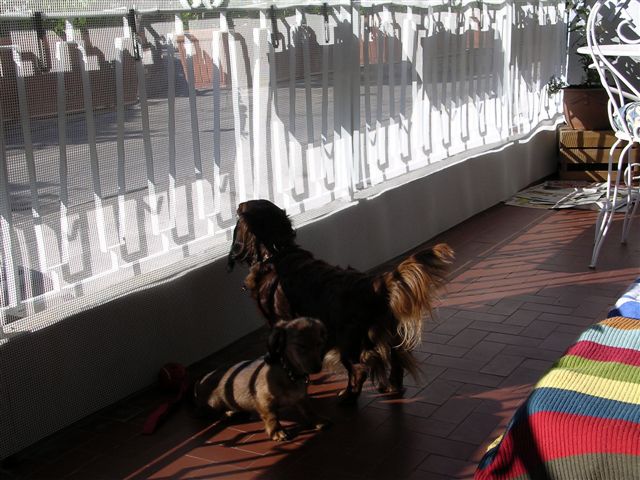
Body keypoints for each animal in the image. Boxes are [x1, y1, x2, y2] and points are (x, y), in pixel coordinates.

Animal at [193, 317, 330, 441]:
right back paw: (226, 413)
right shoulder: (264, 399)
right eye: (301, 345)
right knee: (203, 412)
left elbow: (309, 410)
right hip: (213, 403)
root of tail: (199, 382)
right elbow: (271, 416)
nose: (318, 368)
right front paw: (277, 431)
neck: (288, 372)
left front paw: (318, 420)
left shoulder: (301, 397)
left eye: (319, 344)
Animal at [227, 199, 454, 402]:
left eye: (238, 211)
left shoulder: (277, 321)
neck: (277, 250)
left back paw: (348, 396)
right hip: (387, 334)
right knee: (396, 361)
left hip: (346, 340)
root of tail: (375, 284)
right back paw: (391, 386)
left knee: (359, 369)